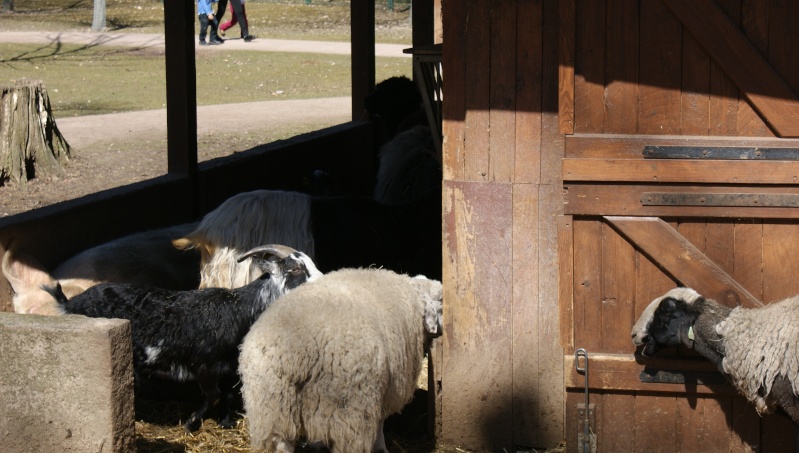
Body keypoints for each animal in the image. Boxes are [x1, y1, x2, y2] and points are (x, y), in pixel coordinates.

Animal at [44, 244, 322, 430]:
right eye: (295, 269)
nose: (324, 281)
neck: (239, 310)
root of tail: (69, 303)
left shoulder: (227, 367)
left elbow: (228, 395)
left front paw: (226, 422)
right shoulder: (204, 366)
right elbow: (214, 395)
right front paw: (190, 423)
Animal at [238, 266, 444, 450]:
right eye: (441, 303)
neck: (412, 295)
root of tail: (295, 351)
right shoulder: (383, 392)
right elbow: (379, 425)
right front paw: (381, 448)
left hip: (272, 403)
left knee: (282, 443)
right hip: (347, 405)